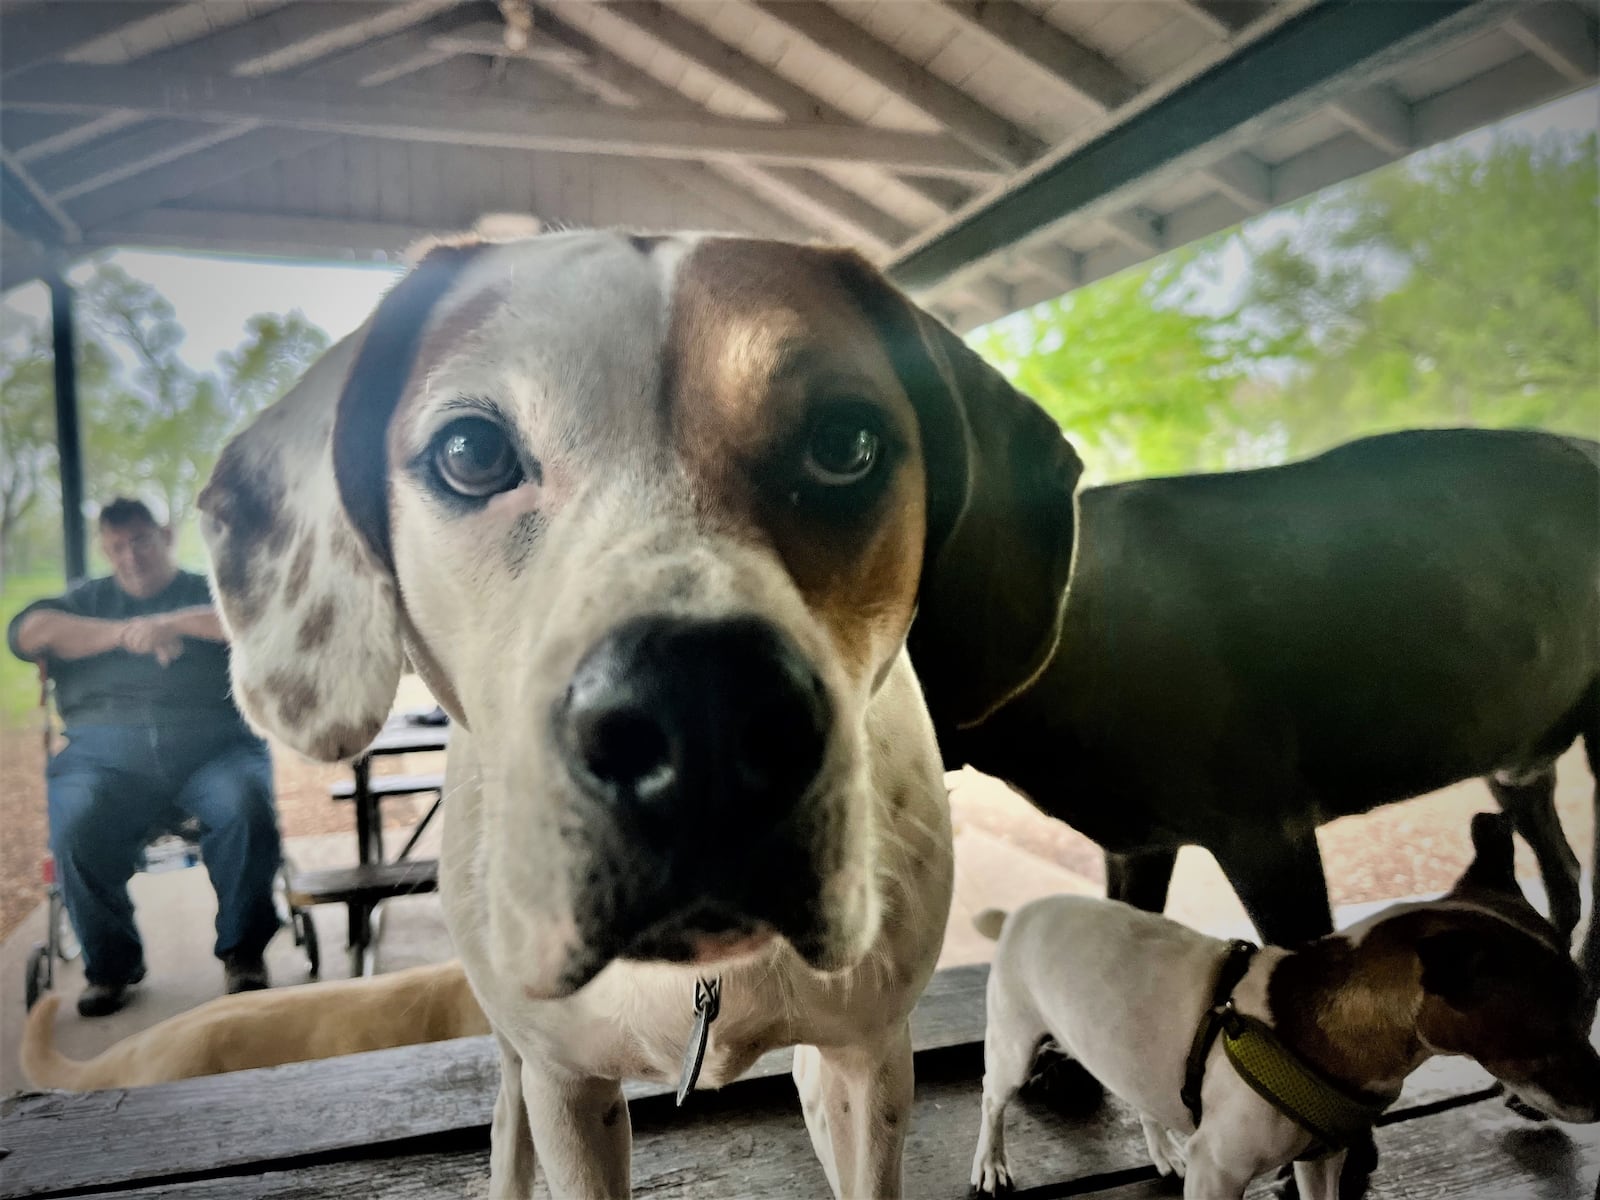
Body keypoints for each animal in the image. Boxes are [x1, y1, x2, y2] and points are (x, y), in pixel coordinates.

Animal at [966, 812, 1593, 1196]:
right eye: (1546, 1036)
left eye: (1589, 1014)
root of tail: (1022, 912)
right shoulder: (1218, 1174)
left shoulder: (1319, 1161)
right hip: (1014, 1046)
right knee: (993, 1099)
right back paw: (991, 1164)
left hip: (1128, 1049)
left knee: (1143, 1100)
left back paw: (1164, 1150)